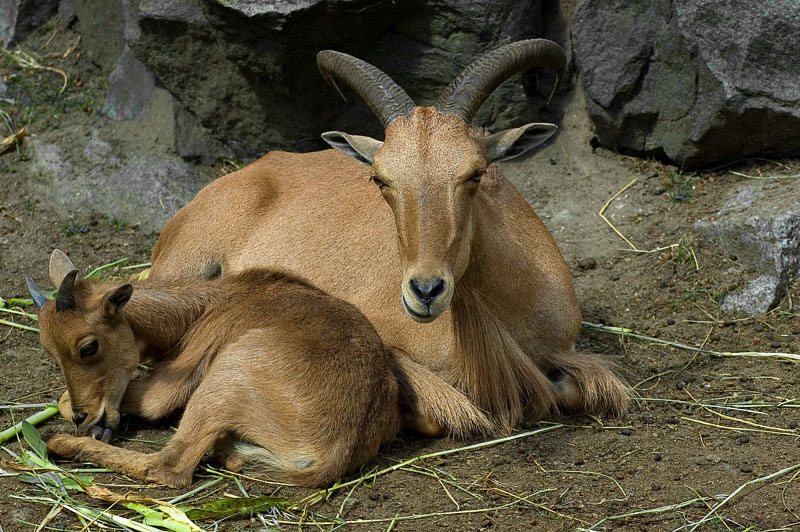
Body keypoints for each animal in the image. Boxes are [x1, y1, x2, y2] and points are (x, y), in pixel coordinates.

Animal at [28, 251, 400, 488]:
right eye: (48, 349)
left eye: (88, 347)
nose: (85, 417)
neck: (202, 309)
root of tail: (337, 448)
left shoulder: (170, 386)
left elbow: (67, 399)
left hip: (224, 381)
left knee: (169, 467)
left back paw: (63, 444)